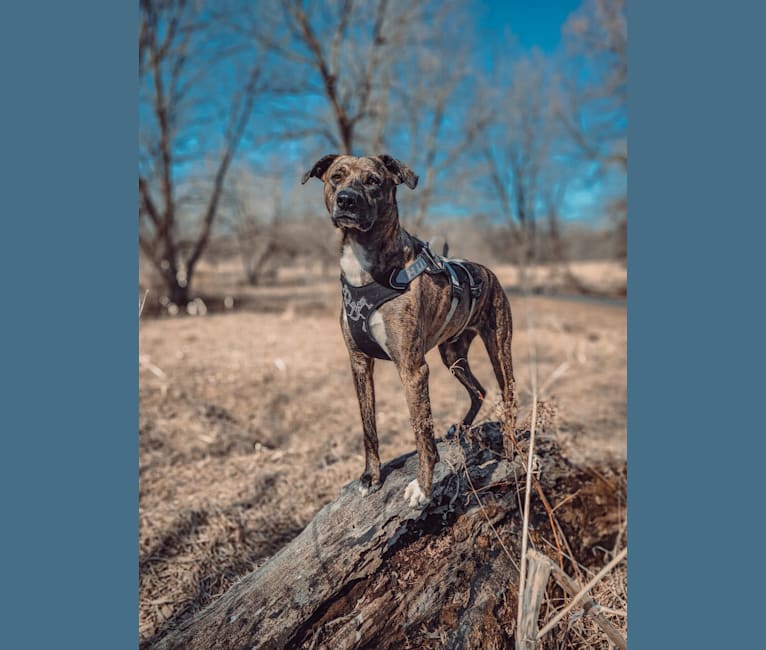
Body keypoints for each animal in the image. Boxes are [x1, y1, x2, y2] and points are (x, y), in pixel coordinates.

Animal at [304, 153, 520, 506]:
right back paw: (461, 429)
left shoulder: (413, 368)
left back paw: (512, 448)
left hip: (499, 349)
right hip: (453, 355)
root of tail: (486, 270)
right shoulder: (360, 363)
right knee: (478, 390)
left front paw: (423, 487)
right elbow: (369, 428)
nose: (346, 200)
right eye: (337, 176)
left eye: (373, 180)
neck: (363, 266)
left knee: (508, 394)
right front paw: (371, 476)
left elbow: (422, 433)